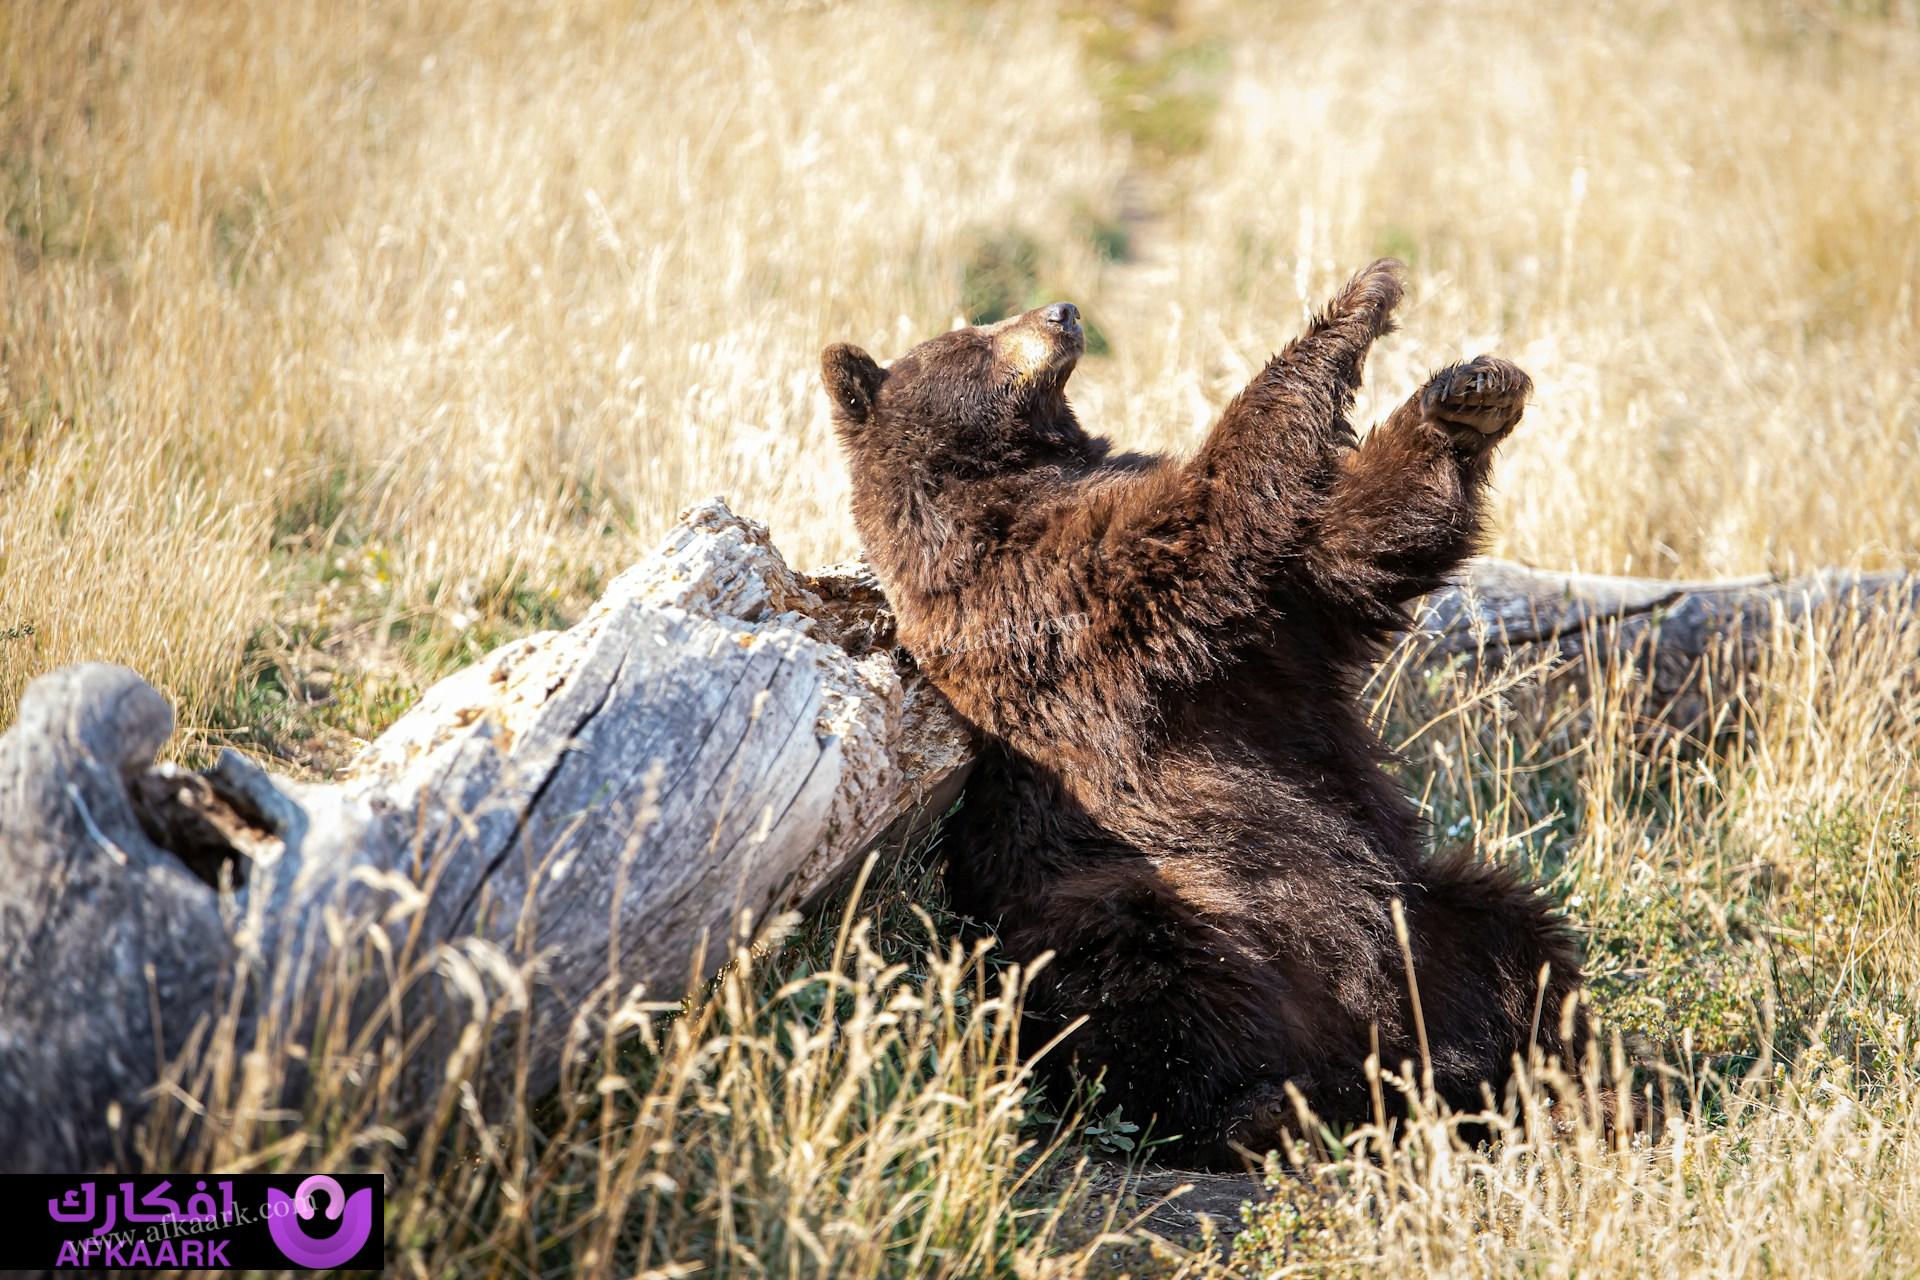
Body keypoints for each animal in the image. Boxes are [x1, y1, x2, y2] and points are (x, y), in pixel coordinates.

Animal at [825, 262, 1589, 1174]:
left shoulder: (1274, 624)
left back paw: (1548, 1075)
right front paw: (1357, 302)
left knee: (1511, 937)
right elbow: (1211, 512)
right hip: (1140, 889)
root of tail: (1359, 1033)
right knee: (1147, 981)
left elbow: (1355, 545)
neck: (1003, 480)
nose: (1063, 313)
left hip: (1422, 915)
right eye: (974, 332)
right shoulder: (1043, 590)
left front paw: (1470, 395)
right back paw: (1261, 1111)